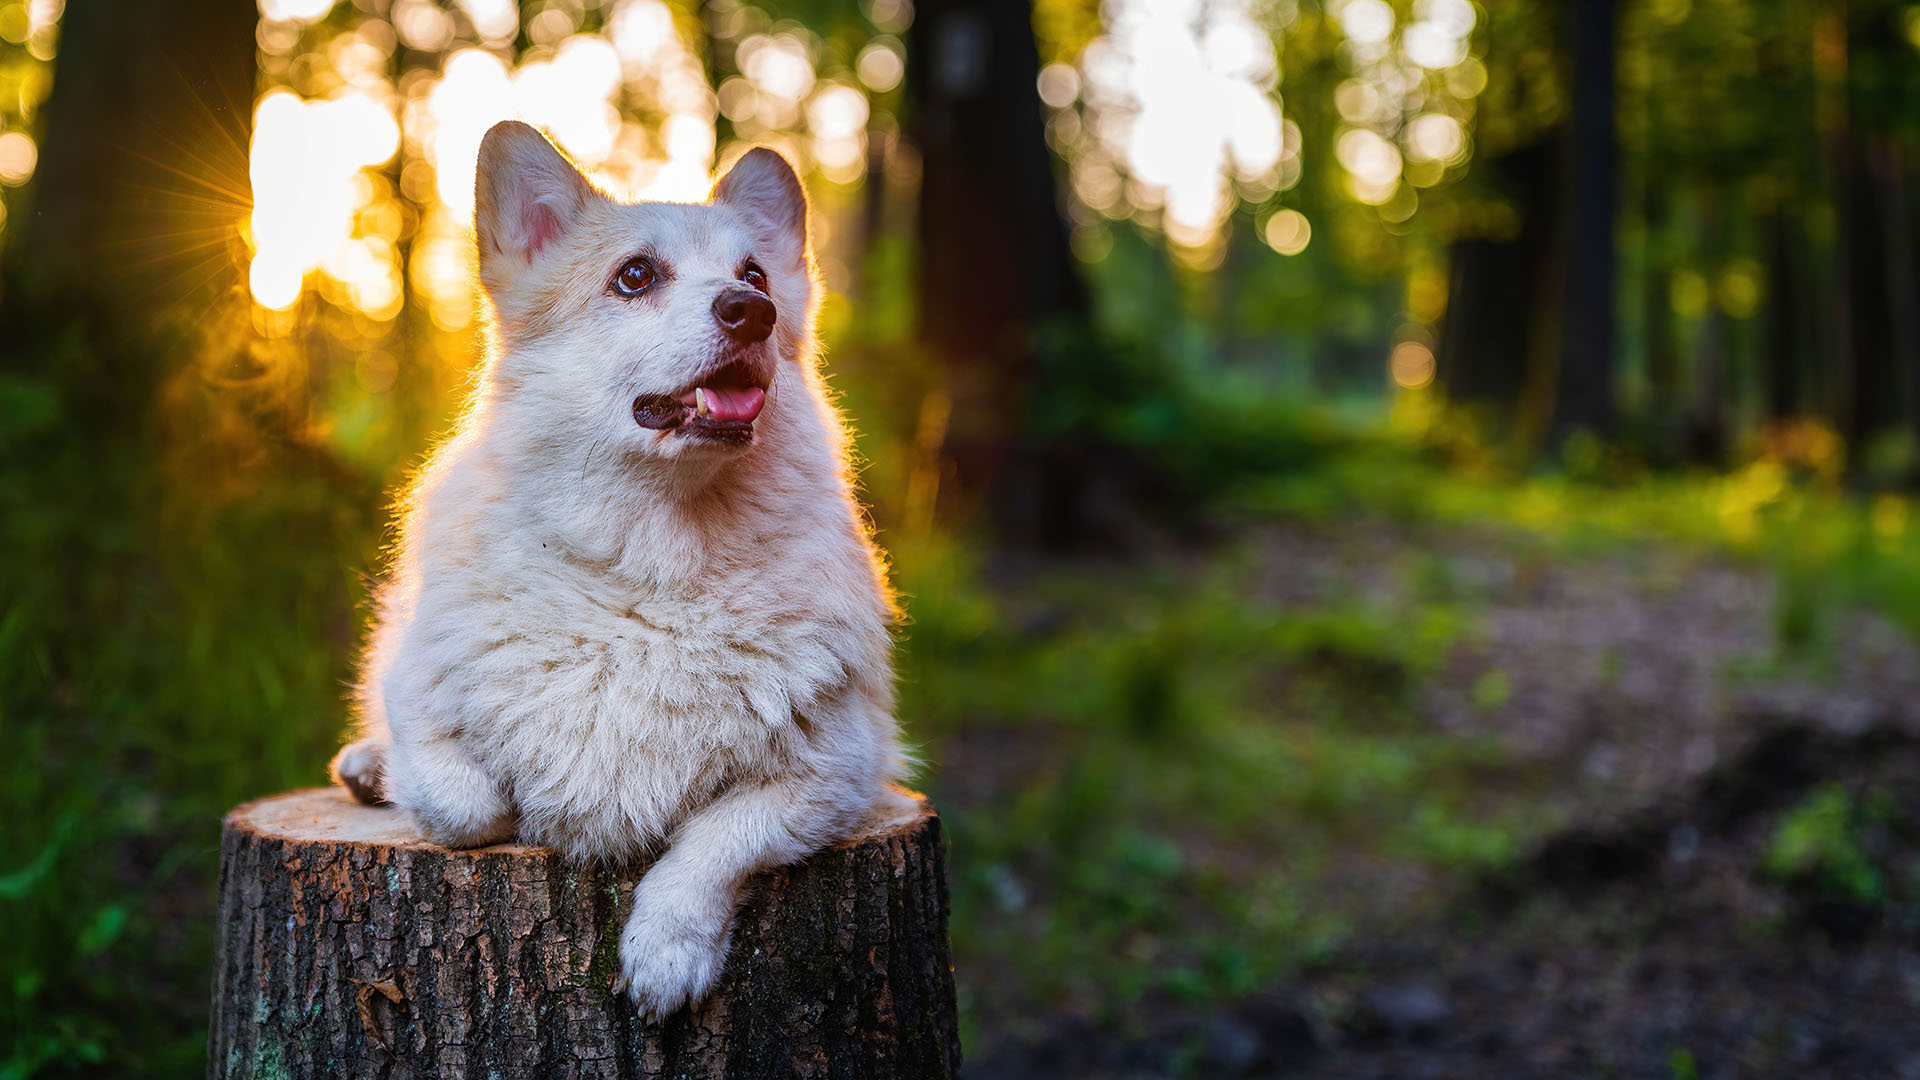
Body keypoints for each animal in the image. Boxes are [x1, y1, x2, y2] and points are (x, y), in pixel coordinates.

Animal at [328, 123, 913, 1014]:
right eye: (634, 276)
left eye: (755, 275)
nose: (754, 311)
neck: (652, 565)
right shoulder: (417, 692)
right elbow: (463, 803)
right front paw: (434, 786)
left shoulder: (836, 773)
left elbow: (715, 843)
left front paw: (667, 951)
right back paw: (365, 766)